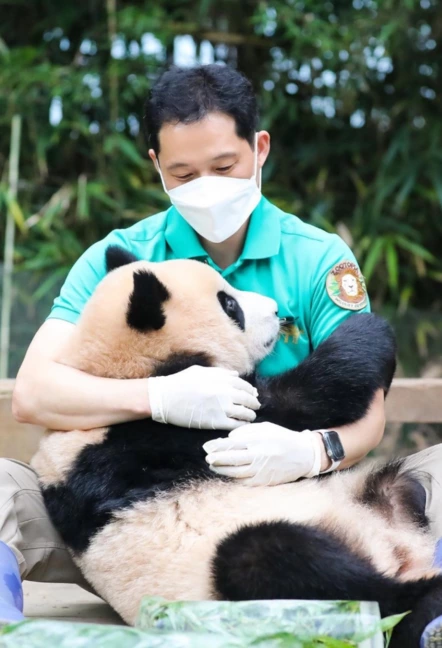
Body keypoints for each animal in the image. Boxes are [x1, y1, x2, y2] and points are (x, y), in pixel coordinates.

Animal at [32, 246, 442, 644]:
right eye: (231, 305)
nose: (277, 310)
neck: (113, 371)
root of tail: (396, 553)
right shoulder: (164, 430)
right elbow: (304, 400)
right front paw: (369, 327)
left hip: (362, 494)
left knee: (401, 486)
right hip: (223, 586)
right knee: (275, 560)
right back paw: (423, 599)